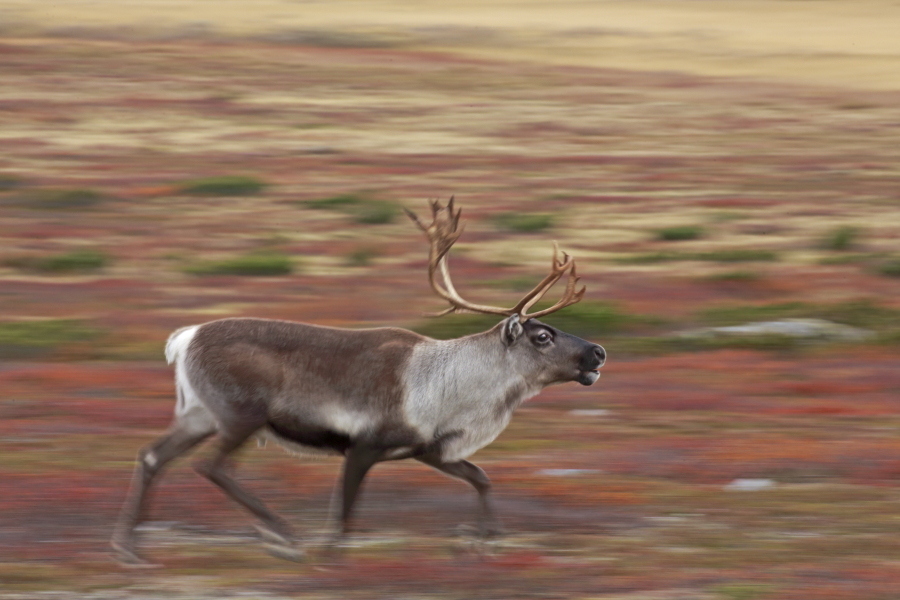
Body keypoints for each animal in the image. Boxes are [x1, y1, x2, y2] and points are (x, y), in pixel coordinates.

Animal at [111, 197, 606, 565]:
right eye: (543, 336)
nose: (599, 352)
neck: (451, 387)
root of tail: (184, 338)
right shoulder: (363, 446)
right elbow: (345, 515)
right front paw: (331, 558)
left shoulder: (428, 449)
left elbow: (481, 477)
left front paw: (485, 540)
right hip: (240, 416)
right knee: (212, 467)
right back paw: (283, 537)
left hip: (199, 414)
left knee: (152, 456)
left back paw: (130, 548)